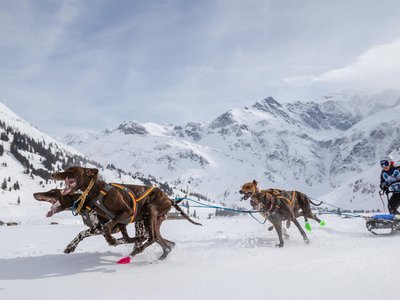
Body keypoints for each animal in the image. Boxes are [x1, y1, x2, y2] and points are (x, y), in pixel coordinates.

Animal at [51, 166, 202, 260]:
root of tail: (169, 198)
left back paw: (135, 252)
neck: (97, 192)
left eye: (71, 169)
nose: (53, 174)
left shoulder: (125, 213)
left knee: (152, 237)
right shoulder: (110, 225)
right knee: (163, 242)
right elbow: (89, 232)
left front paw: (113, 240)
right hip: (149, 221)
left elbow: (107, 229)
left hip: (150, 211)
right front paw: (70, 246)